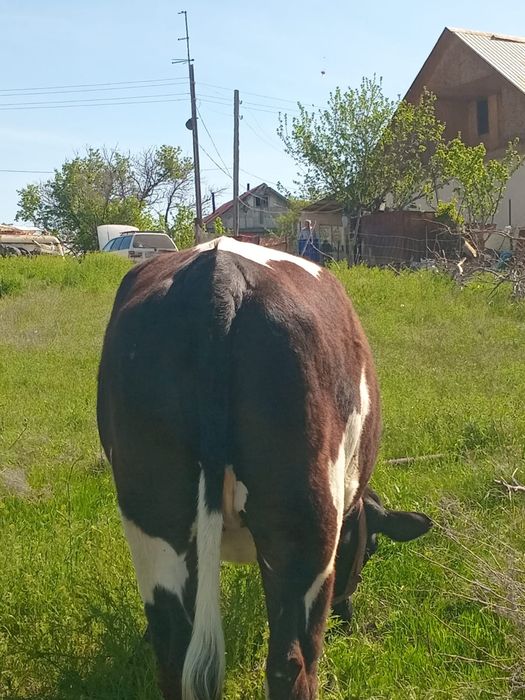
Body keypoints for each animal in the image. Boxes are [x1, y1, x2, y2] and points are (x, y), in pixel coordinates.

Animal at [97, 236, 431, 700]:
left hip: (154, 515)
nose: (346, 617)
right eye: (371, 550)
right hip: (304, 523)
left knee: (174, 652)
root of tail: (220, 275)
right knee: (292, 664)